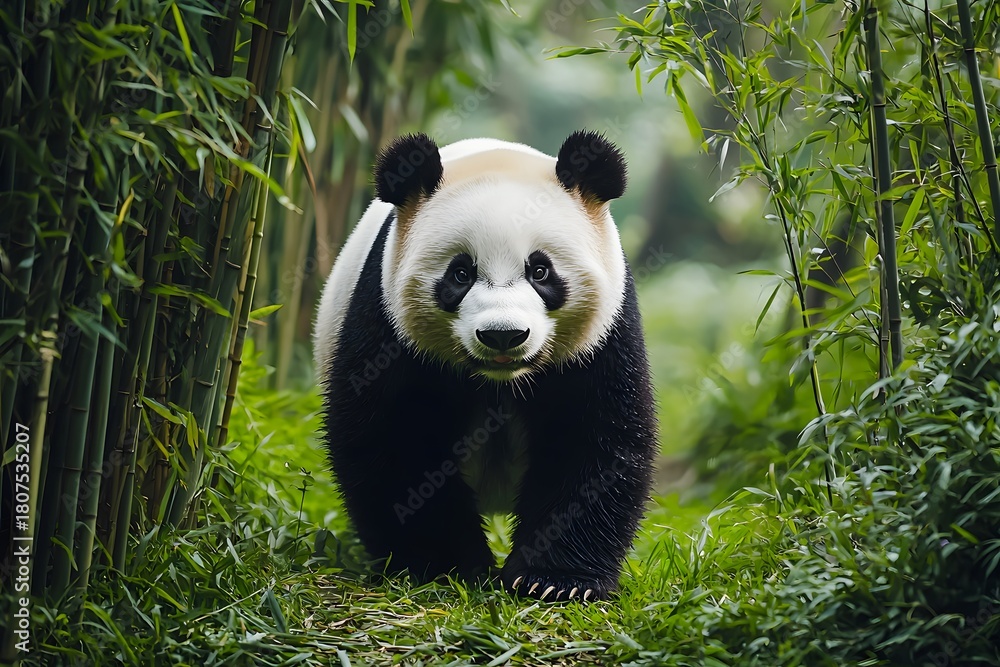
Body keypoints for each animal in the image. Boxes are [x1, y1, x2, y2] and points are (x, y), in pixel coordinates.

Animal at [314, 130, 657, 601]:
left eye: (540, 270)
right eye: (460, 273)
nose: (503, 335)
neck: (500, 380)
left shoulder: (602, 337)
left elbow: (595, 442)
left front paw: (555, 581)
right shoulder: (388, 327)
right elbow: (394, 442)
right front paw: (445, 566)